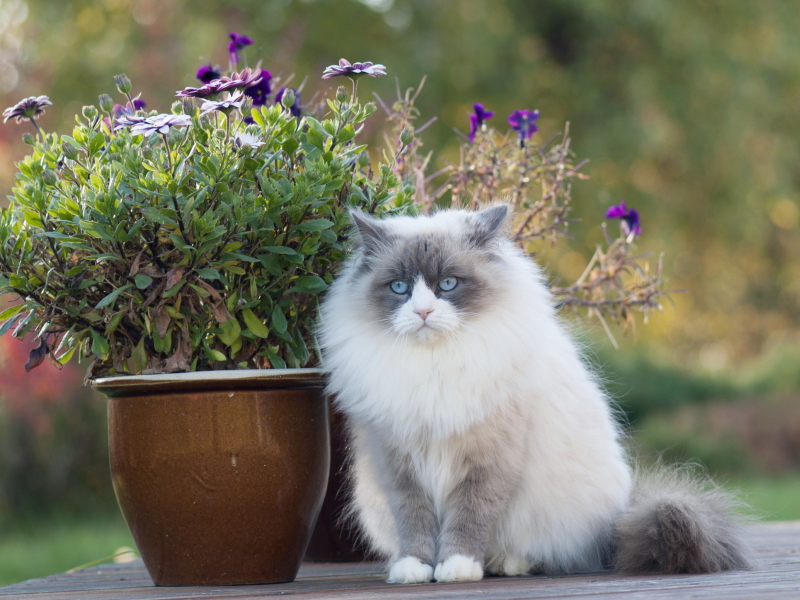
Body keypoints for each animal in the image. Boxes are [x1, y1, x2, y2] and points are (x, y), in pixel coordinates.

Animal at [314, 205, 752, 580]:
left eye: (448, 285)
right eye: (400, 288)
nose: (423, 312)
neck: (436, 364)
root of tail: (624, 507)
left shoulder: (487, 461)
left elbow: (468, 519)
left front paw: (457, 567)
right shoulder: (400, 464)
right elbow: (415, 523)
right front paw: (416, 569)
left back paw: (505, 564)